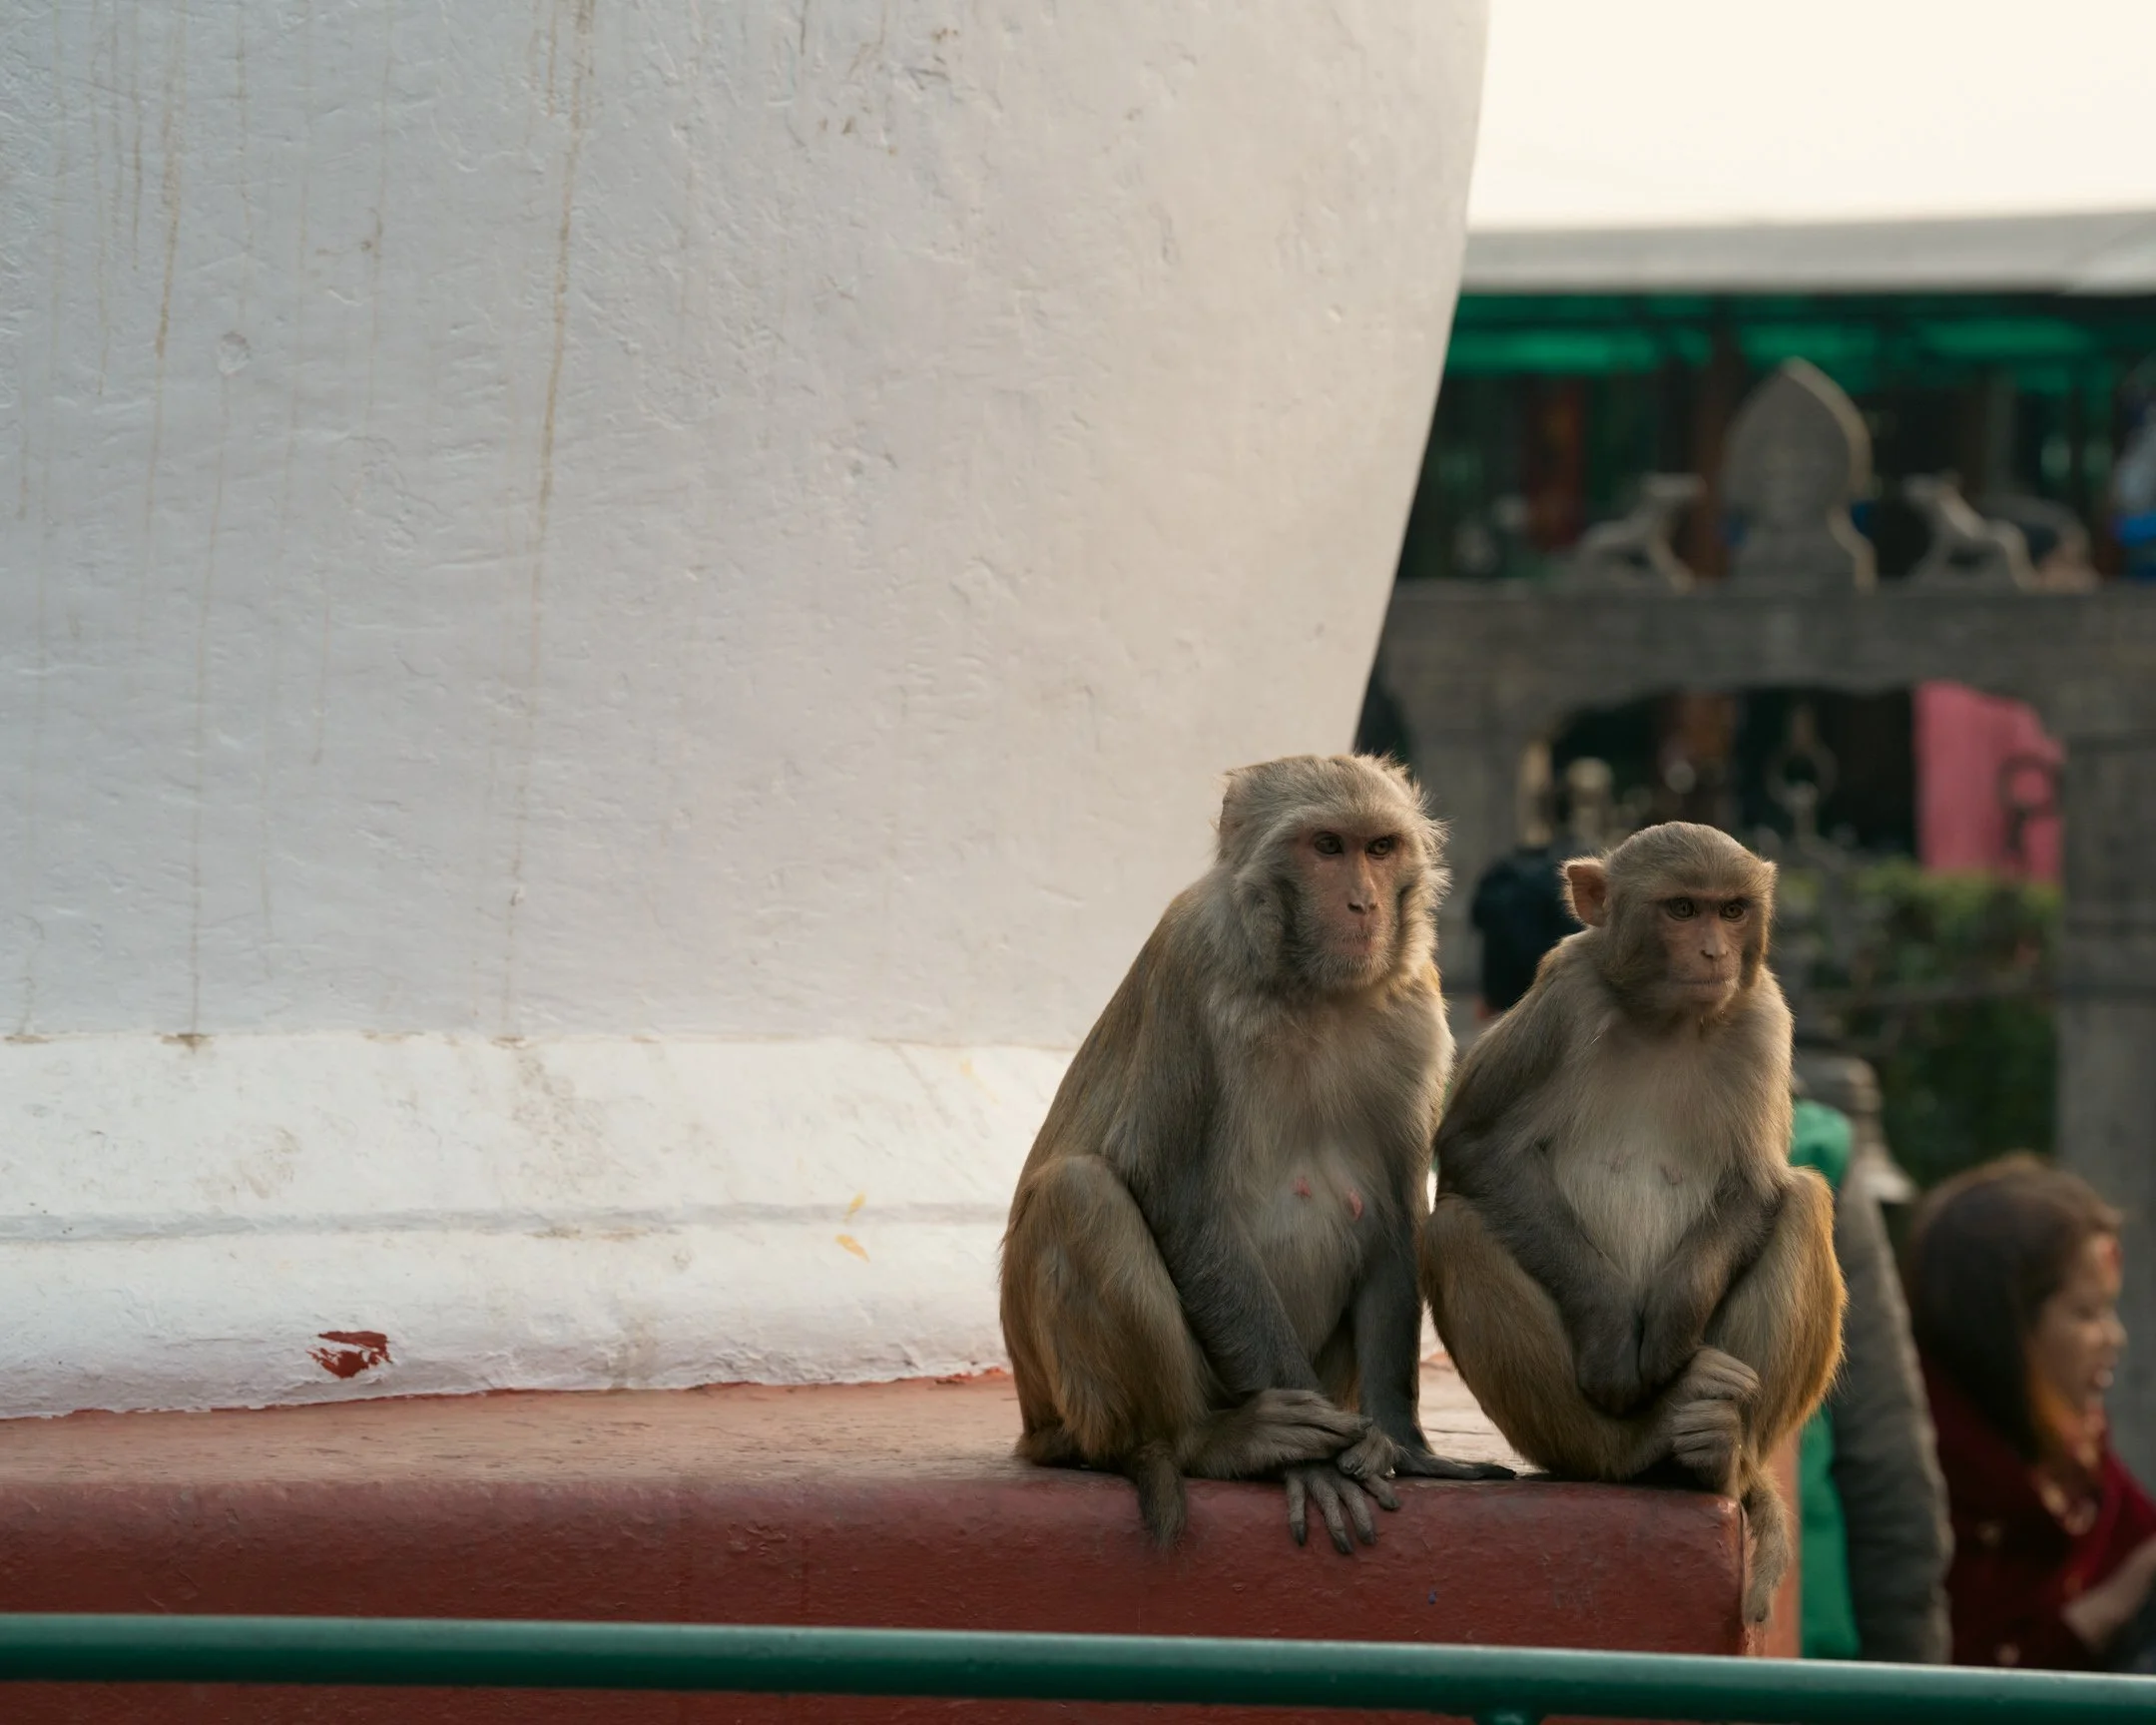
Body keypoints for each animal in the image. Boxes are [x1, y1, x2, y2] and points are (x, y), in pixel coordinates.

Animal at [1000, 754, 1511, 1555]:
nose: (1364, 905)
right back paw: (1206, 1440)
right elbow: (1176, 1195)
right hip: (1064, 1409)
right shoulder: (1189, 961)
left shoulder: (1418, 1005)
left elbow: (1399, 1213)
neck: (1306, 986)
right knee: (1079, 1193)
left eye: (1380, 848)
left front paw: (1405, 1445)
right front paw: (1317, 1465)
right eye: (1327, 846)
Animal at [1420, 821, 1844, 1624]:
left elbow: (1757, 1185)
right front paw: (1616, 1339)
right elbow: (1474, 1147)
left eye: (1731, 910)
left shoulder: (1762, 1017)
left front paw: (1672, 1326)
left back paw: (1714, 1455)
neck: (1666, 1022)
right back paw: (1636, 1445)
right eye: (1681, 909)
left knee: (1804, 1202)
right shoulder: (1565, 994)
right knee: (1454, 1232)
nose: (1713, 953)